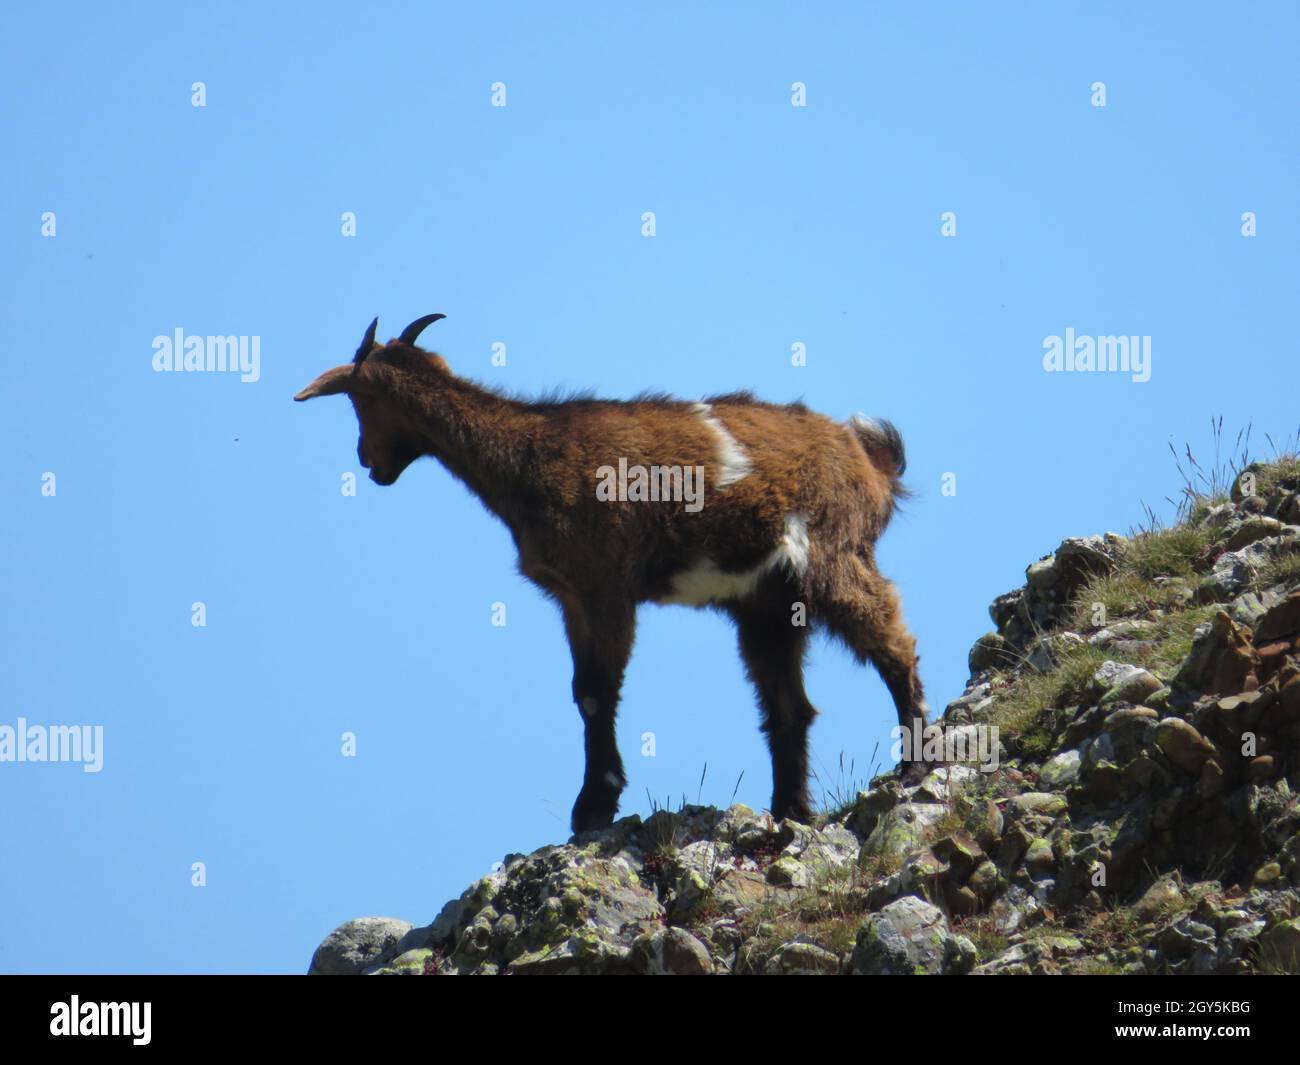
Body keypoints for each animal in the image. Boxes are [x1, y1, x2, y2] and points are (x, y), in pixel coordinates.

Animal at [296, 314, 929, 832]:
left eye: (359, 402)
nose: (366, 462)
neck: (529, 455)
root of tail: (868, 459)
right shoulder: (571, 596)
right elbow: (582, 691)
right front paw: (595, 801)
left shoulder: (604, 586)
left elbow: (599, 692)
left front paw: (594, 806)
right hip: (766, 603)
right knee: (790, 706)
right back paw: (791, 813)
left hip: (830, 554)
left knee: (892, 639)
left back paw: (915, 762)